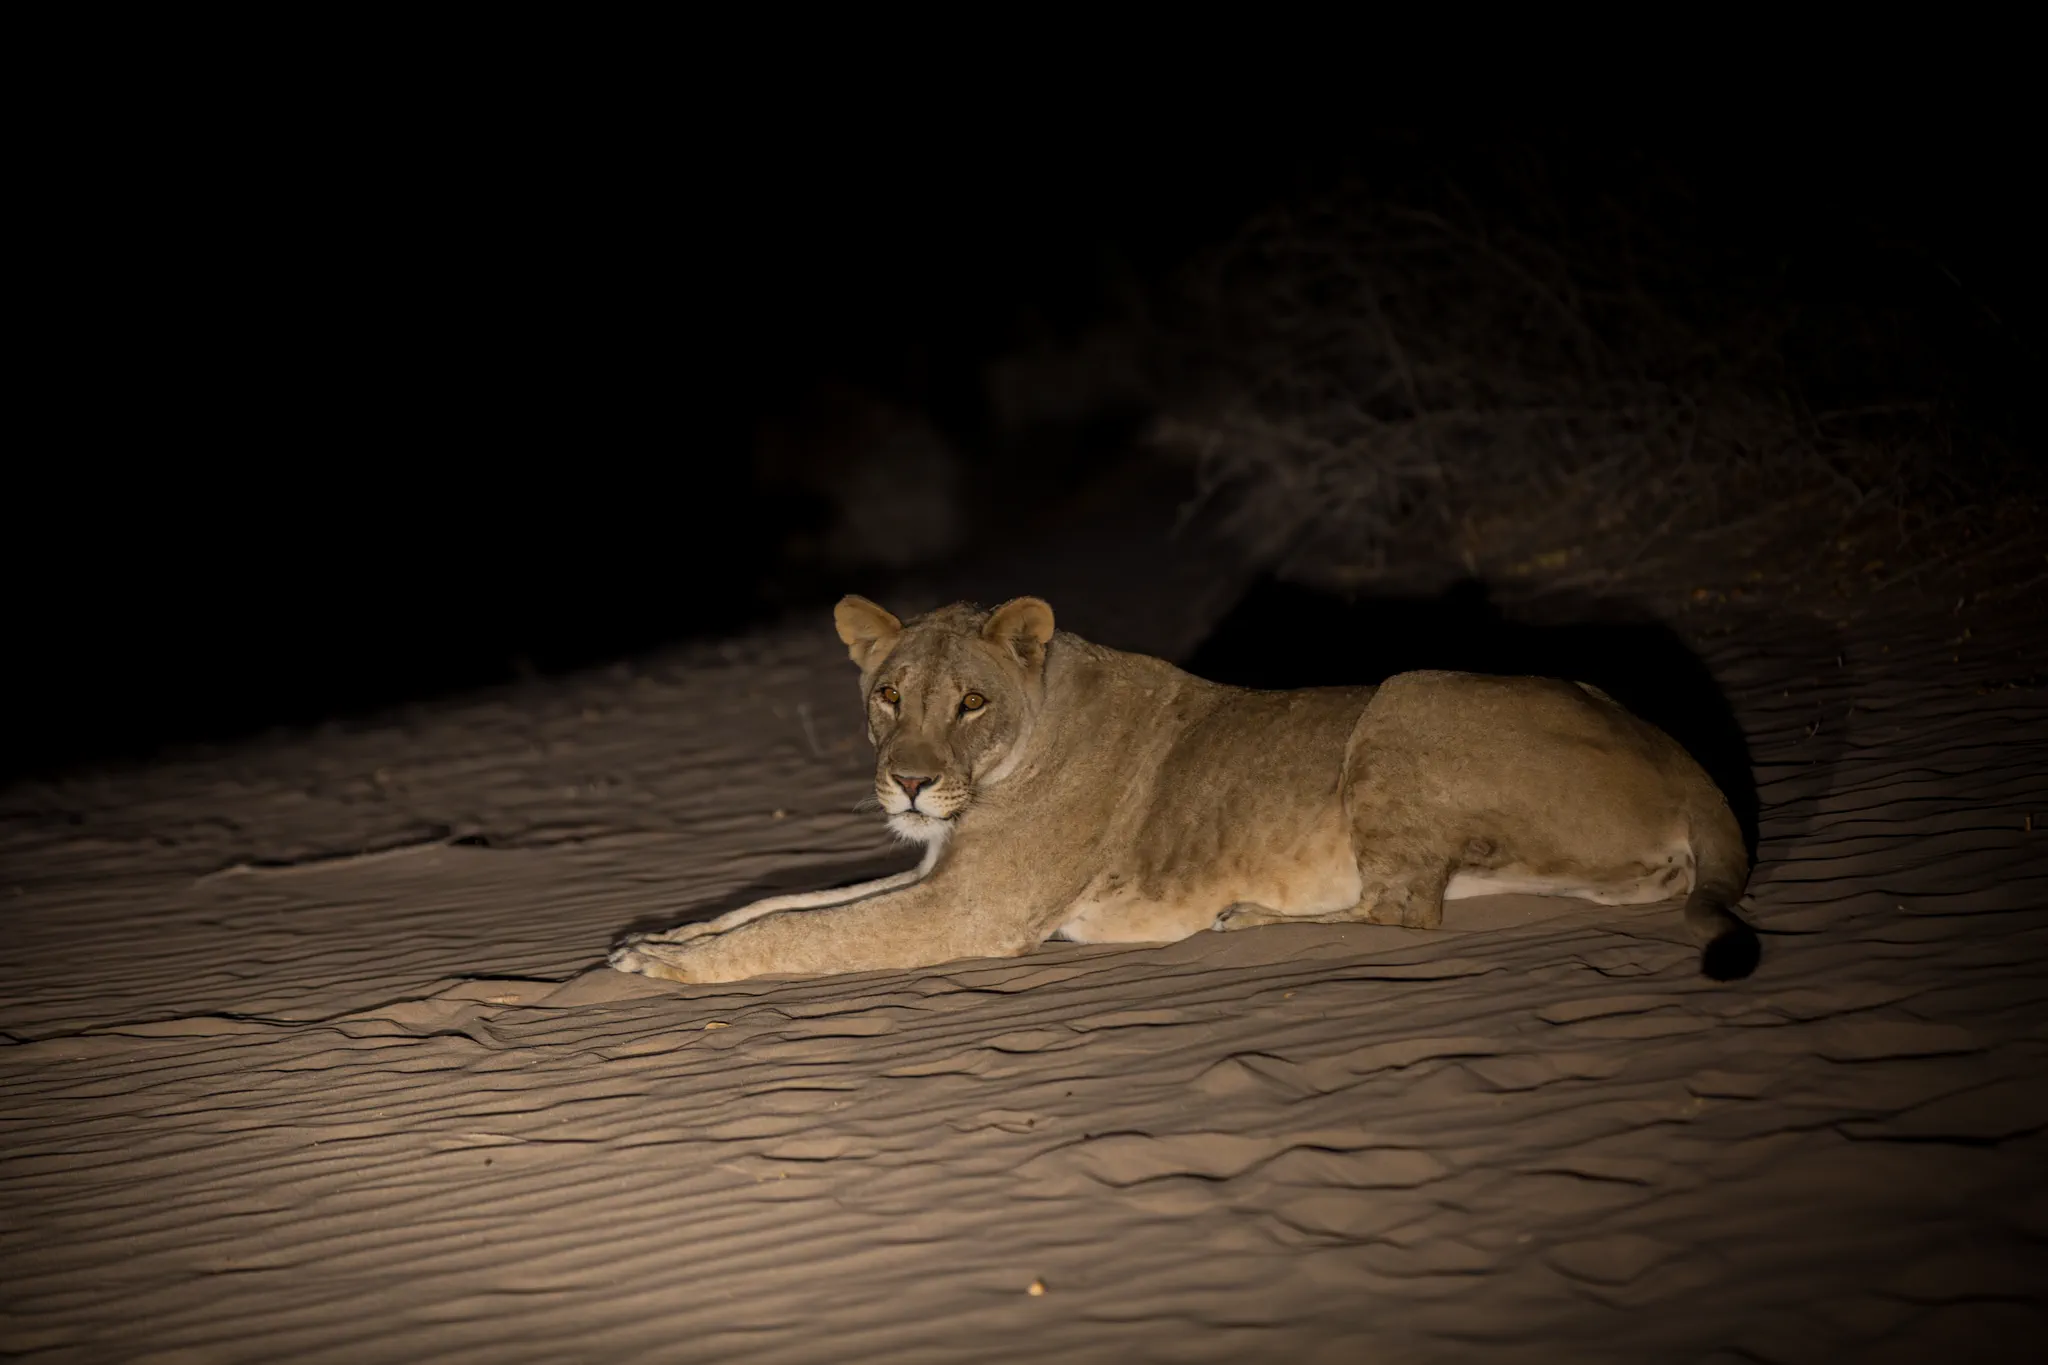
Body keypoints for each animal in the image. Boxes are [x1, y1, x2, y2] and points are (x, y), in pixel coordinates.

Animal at [609, 595, 1759, 985]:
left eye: (968, 702)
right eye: (887, 693)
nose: (909, 785)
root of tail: (1682, 755)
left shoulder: (972, 907)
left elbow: (802, 932)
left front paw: (669, 968)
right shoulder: (942, 873)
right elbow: (783, 899)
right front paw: (651, 938)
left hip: (1405, 693)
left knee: (1403, 913)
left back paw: (1238, 920)